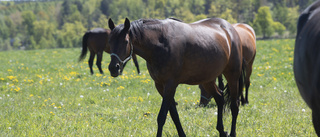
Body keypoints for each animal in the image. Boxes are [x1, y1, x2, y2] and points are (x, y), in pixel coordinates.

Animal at [107, 17, 242, 136]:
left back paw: (232, 133)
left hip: (232, 76)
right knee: (219, 98)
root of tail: (230, 29)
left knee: (234, 106)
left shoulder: (170, 85)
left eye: (125, 41)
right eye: (110, 41)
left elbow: (162, 116)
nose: (114, 68)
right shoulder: (160, 85)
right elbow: (174, 115)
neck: (161, 44)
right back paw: (222, 131)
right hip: (207, 80)